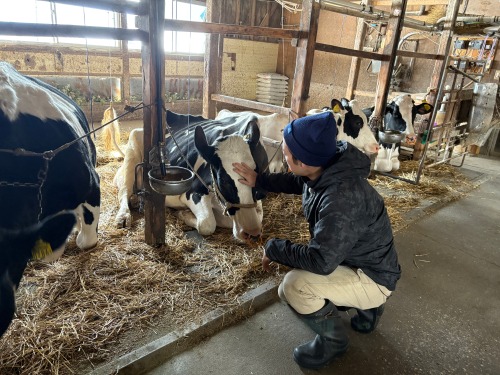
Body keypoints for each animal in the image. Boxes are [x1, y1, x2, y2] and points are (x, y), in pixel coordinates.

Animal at [114, 110, 270, 242]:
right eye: (223, 180)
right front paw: (183, 214)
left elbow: (257, 215)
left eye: (256, 175)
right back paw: (123, 216)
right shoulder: (192, 193)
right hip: (132, 151)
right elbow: (207, 223)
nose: (252, 233)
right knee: (124, 191)